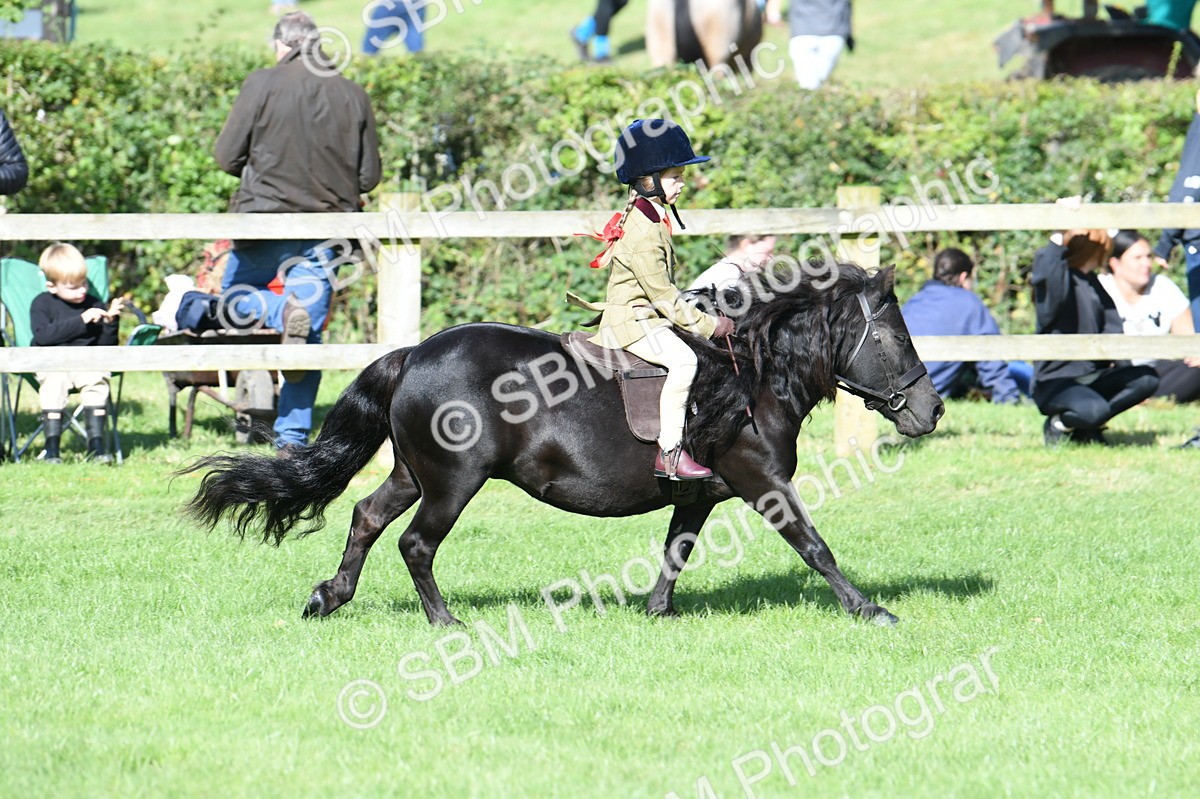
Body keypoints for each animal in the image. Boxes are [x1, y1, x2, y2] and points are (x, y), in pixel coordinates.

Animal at [184, 262, 943, 627]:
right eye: (890, 337)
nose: (930, 410)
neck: (750, 378)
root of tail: (416, 352)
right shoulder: (763, 483)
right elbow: (815, 546)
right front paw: (871, 610)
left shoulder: (699, 492)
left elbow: (675, 550)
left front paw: (656, 613)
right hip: (453, 481)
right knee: (416, 544)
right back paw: (445, 621)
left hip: (413, 473)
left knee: (368, 517)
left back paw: (329, 597)